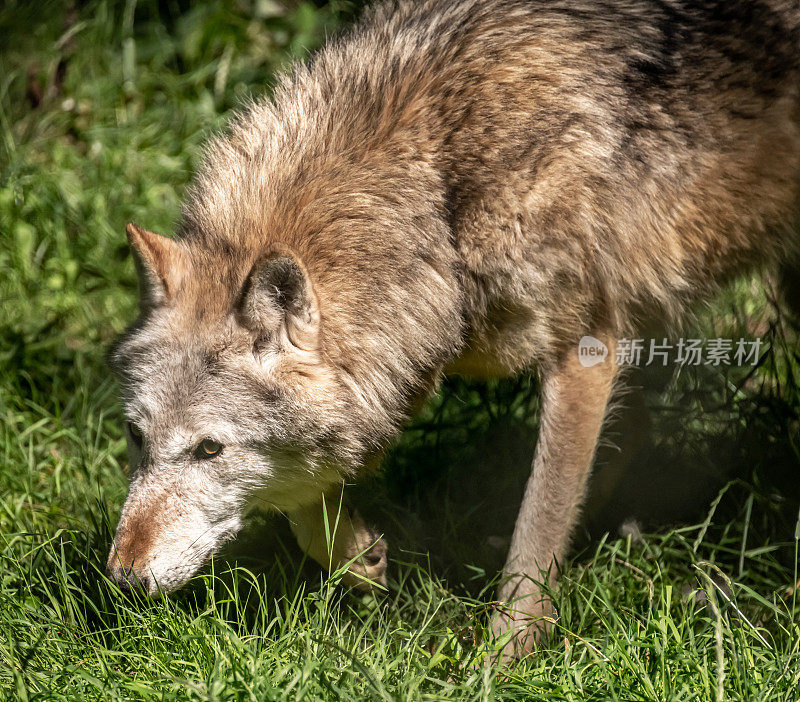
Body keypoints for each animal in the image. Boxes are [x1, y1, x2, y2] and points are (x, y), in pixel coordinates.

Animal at [108, 0, 800, 660]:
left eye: (209, 450)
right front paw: (362, 556)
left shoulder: (585, 352)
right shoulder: (425, 350)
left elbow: (537, 526)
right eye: (136, 436)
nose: (121, 577)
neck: (439, 189)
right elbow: (313, 506)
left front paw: (502, 657)